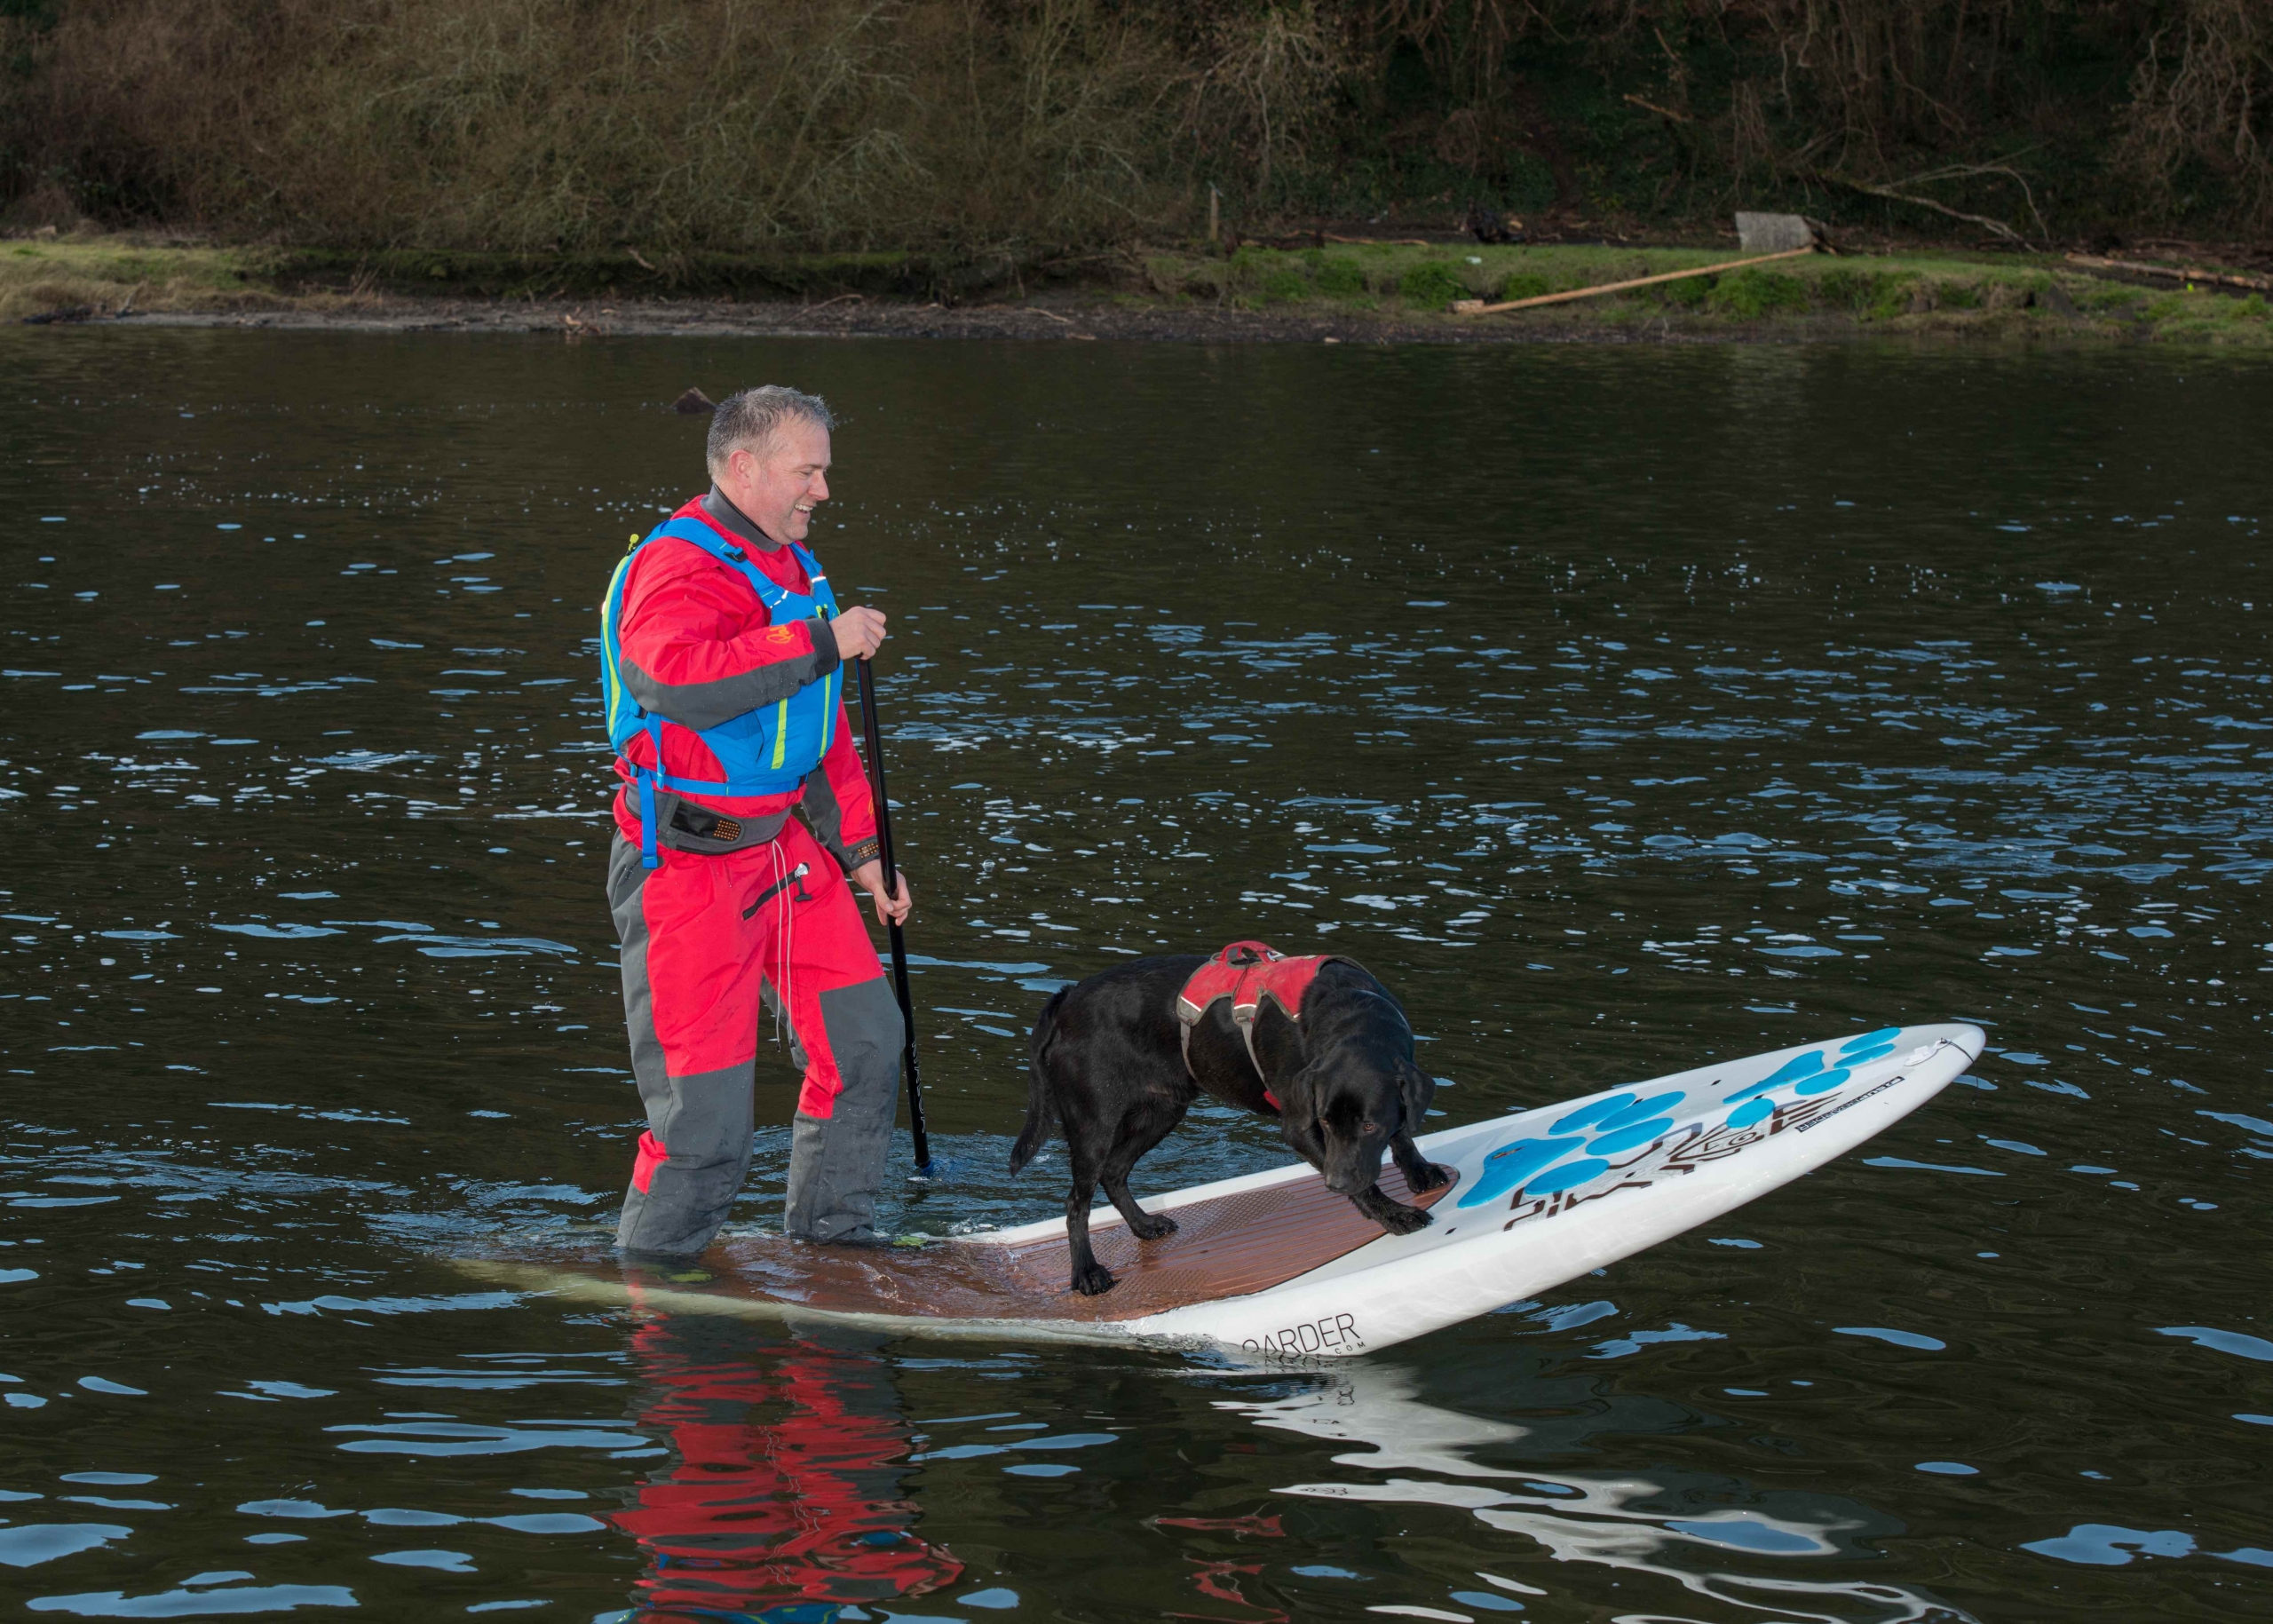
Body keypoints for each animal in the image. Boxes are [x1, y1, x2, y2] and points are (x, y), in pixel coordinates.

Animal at [1018, 950, 1454, 1292]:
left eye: (1368, 1126)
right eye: (1326, 1122)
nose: (1335, 1185)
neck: (1352, 1014)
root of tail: (1068, 998)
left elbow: (1403, 1133)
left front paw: (1419, 1170)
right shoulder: (1300, 1127)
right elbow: (1367, 1186)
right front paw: (1394, 1214)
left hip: (1162, 1111)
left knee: (1114, 1173)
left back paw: (1144, 1225)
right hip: (1094, 1122)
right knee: (1077, 1202)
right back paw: (1087, 1274)